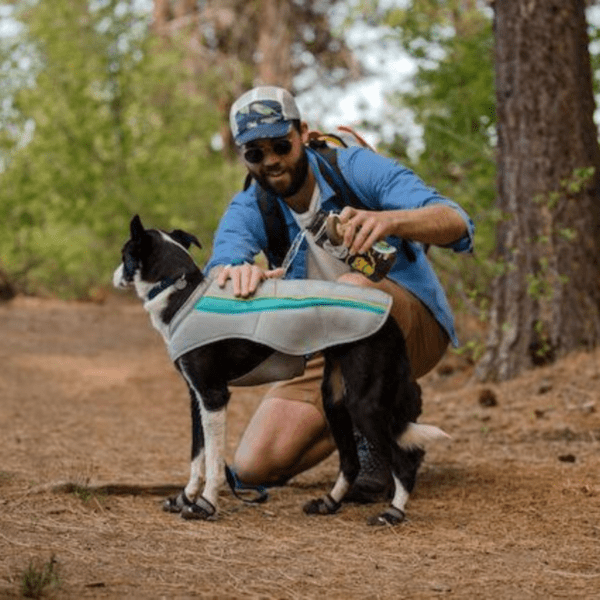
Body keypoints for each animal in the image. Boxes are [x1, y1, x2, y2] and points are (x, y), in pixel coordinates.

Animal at [115, 216, 448, 524]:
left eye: (125, 254)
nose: (115, 275)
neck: (181, 293)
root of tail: (390, 319)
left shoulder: (213, 397)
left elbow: (213, 461)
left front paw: (205, 504)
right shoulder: (196, 399)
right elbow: (197, 457)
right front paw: (185, 497)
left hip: (362, 406)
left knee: (403, 463)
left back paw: (393, 512)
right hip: (335, 400)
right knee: (350, 463)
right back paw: (329, 503)